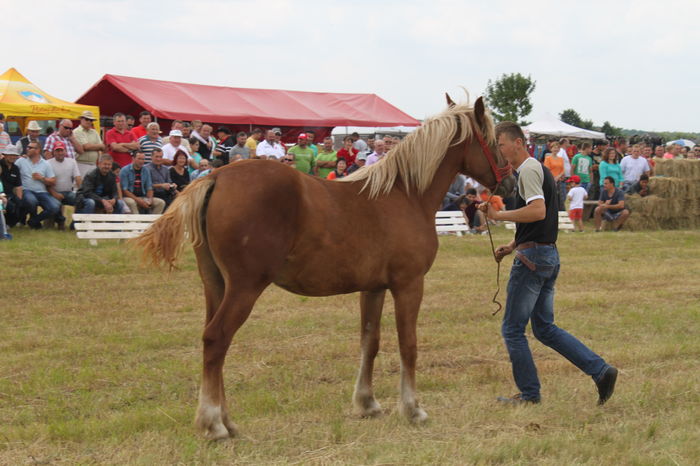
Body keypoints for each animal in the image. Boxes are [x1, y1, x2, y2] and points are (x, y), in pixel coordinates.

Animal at [133, 95, 516, 440]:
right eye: (492, 140)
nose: (509, 182)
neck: (405, 194)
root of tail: (216, 178)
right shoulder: (409, 285)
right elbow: (408, 344)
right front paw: (413, 409)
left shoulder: (373, 288)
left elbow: (370, 341)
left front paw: (367, 403)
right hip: (244, 288)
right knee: (217, 339)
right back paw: (214, 425)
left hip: (215, 285)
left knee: (214, 343)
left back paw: (226, 421)